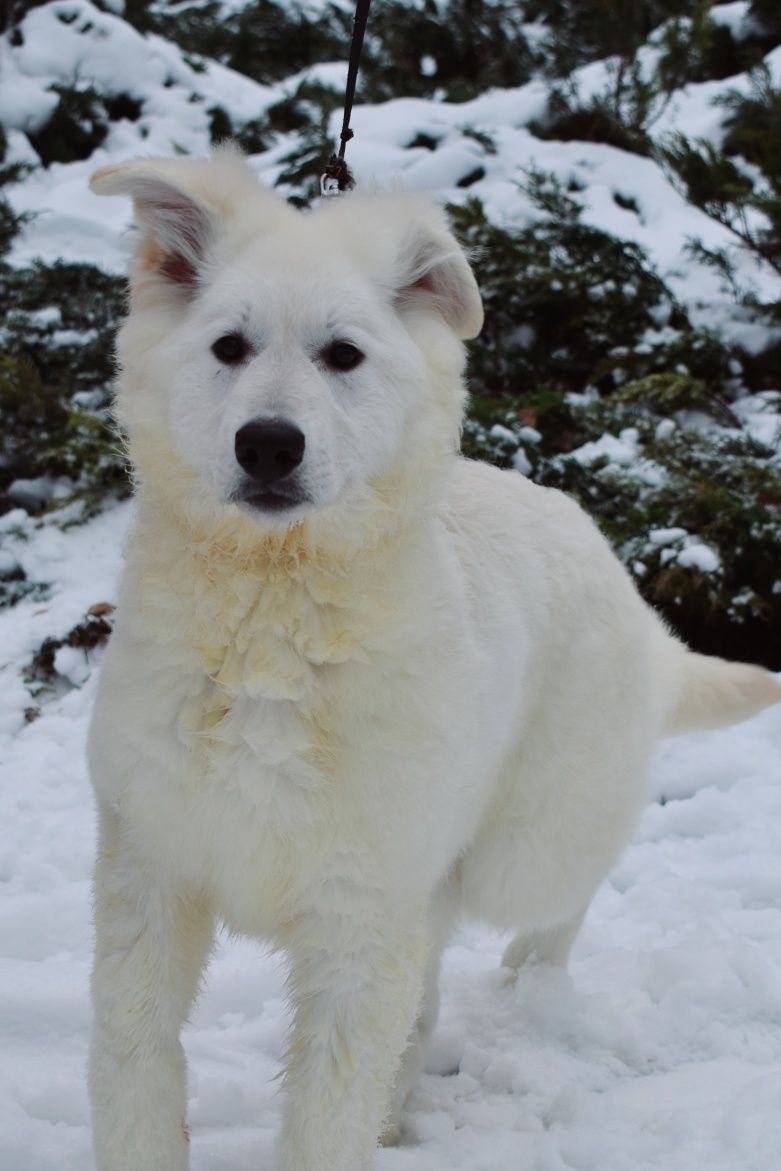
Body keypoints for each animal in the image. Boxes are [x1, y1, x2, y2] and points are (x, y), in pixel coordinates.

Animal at [87, 151, 781, 1171]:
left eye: (342, 355)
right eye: (228, 347)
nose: (267, 444)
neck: (273, 616)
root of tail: (628, 592)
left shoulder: (358, 914)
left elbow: (324, 1114)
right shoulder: (152, 877)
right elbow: (137, 1070)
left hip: (520, 847)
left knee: (559, 902)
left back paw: (533, 982)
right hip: (435, 878)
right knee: (429, 991)